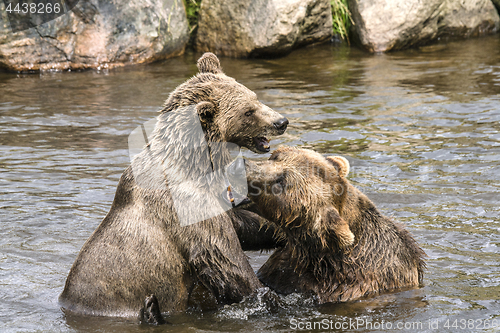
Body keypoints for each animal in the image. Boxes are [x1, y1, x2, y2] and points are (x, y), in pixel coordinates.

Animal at [59, 52, 290, 320]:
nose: (281, 122)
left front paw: (282, 231)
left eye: (254, 97)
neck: (195, 166)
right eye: (248, 111)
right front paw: (268, 297)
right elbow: (223, 257)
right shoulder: (186, 204)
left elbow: (242, 222)